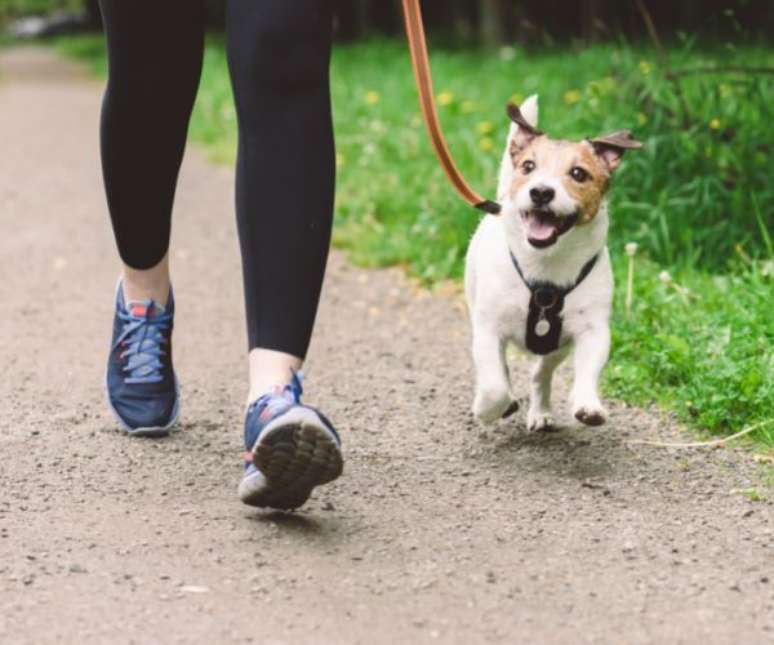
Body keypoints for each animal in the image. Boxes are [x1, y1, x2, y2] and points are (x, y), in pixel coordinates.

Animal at [466, 94, 644, 428]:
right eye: (528, 166)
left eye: (578, 174)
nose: (541, 192)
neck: (546, 265)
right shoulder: (487, 328)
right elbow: (495, 384)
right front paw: (488, 408)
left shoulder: (592, 330)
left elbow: (588, 370)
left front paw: (588, 405)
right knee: (503, 371)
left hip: (557, 346)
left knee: (541, 373)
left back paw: (540, 411)